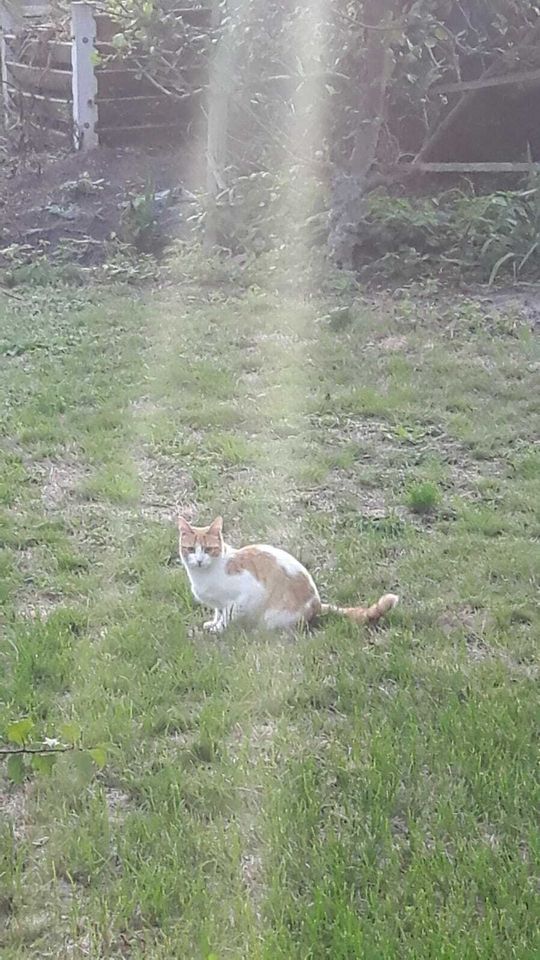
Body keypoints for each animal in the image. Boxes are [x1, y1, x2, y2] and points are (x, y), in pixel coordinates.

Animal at [177, 512, 396, 632]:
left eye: (207, 549)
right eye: (191, 549)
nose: (198, 560)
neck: (205, 575)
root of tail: (317, 603)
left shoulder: (246, 594)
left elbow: (229, 615)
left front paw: (220, 629)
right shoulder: (219, 604)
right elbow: (219, 612)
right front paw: (213, 624)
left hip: (274, 616)